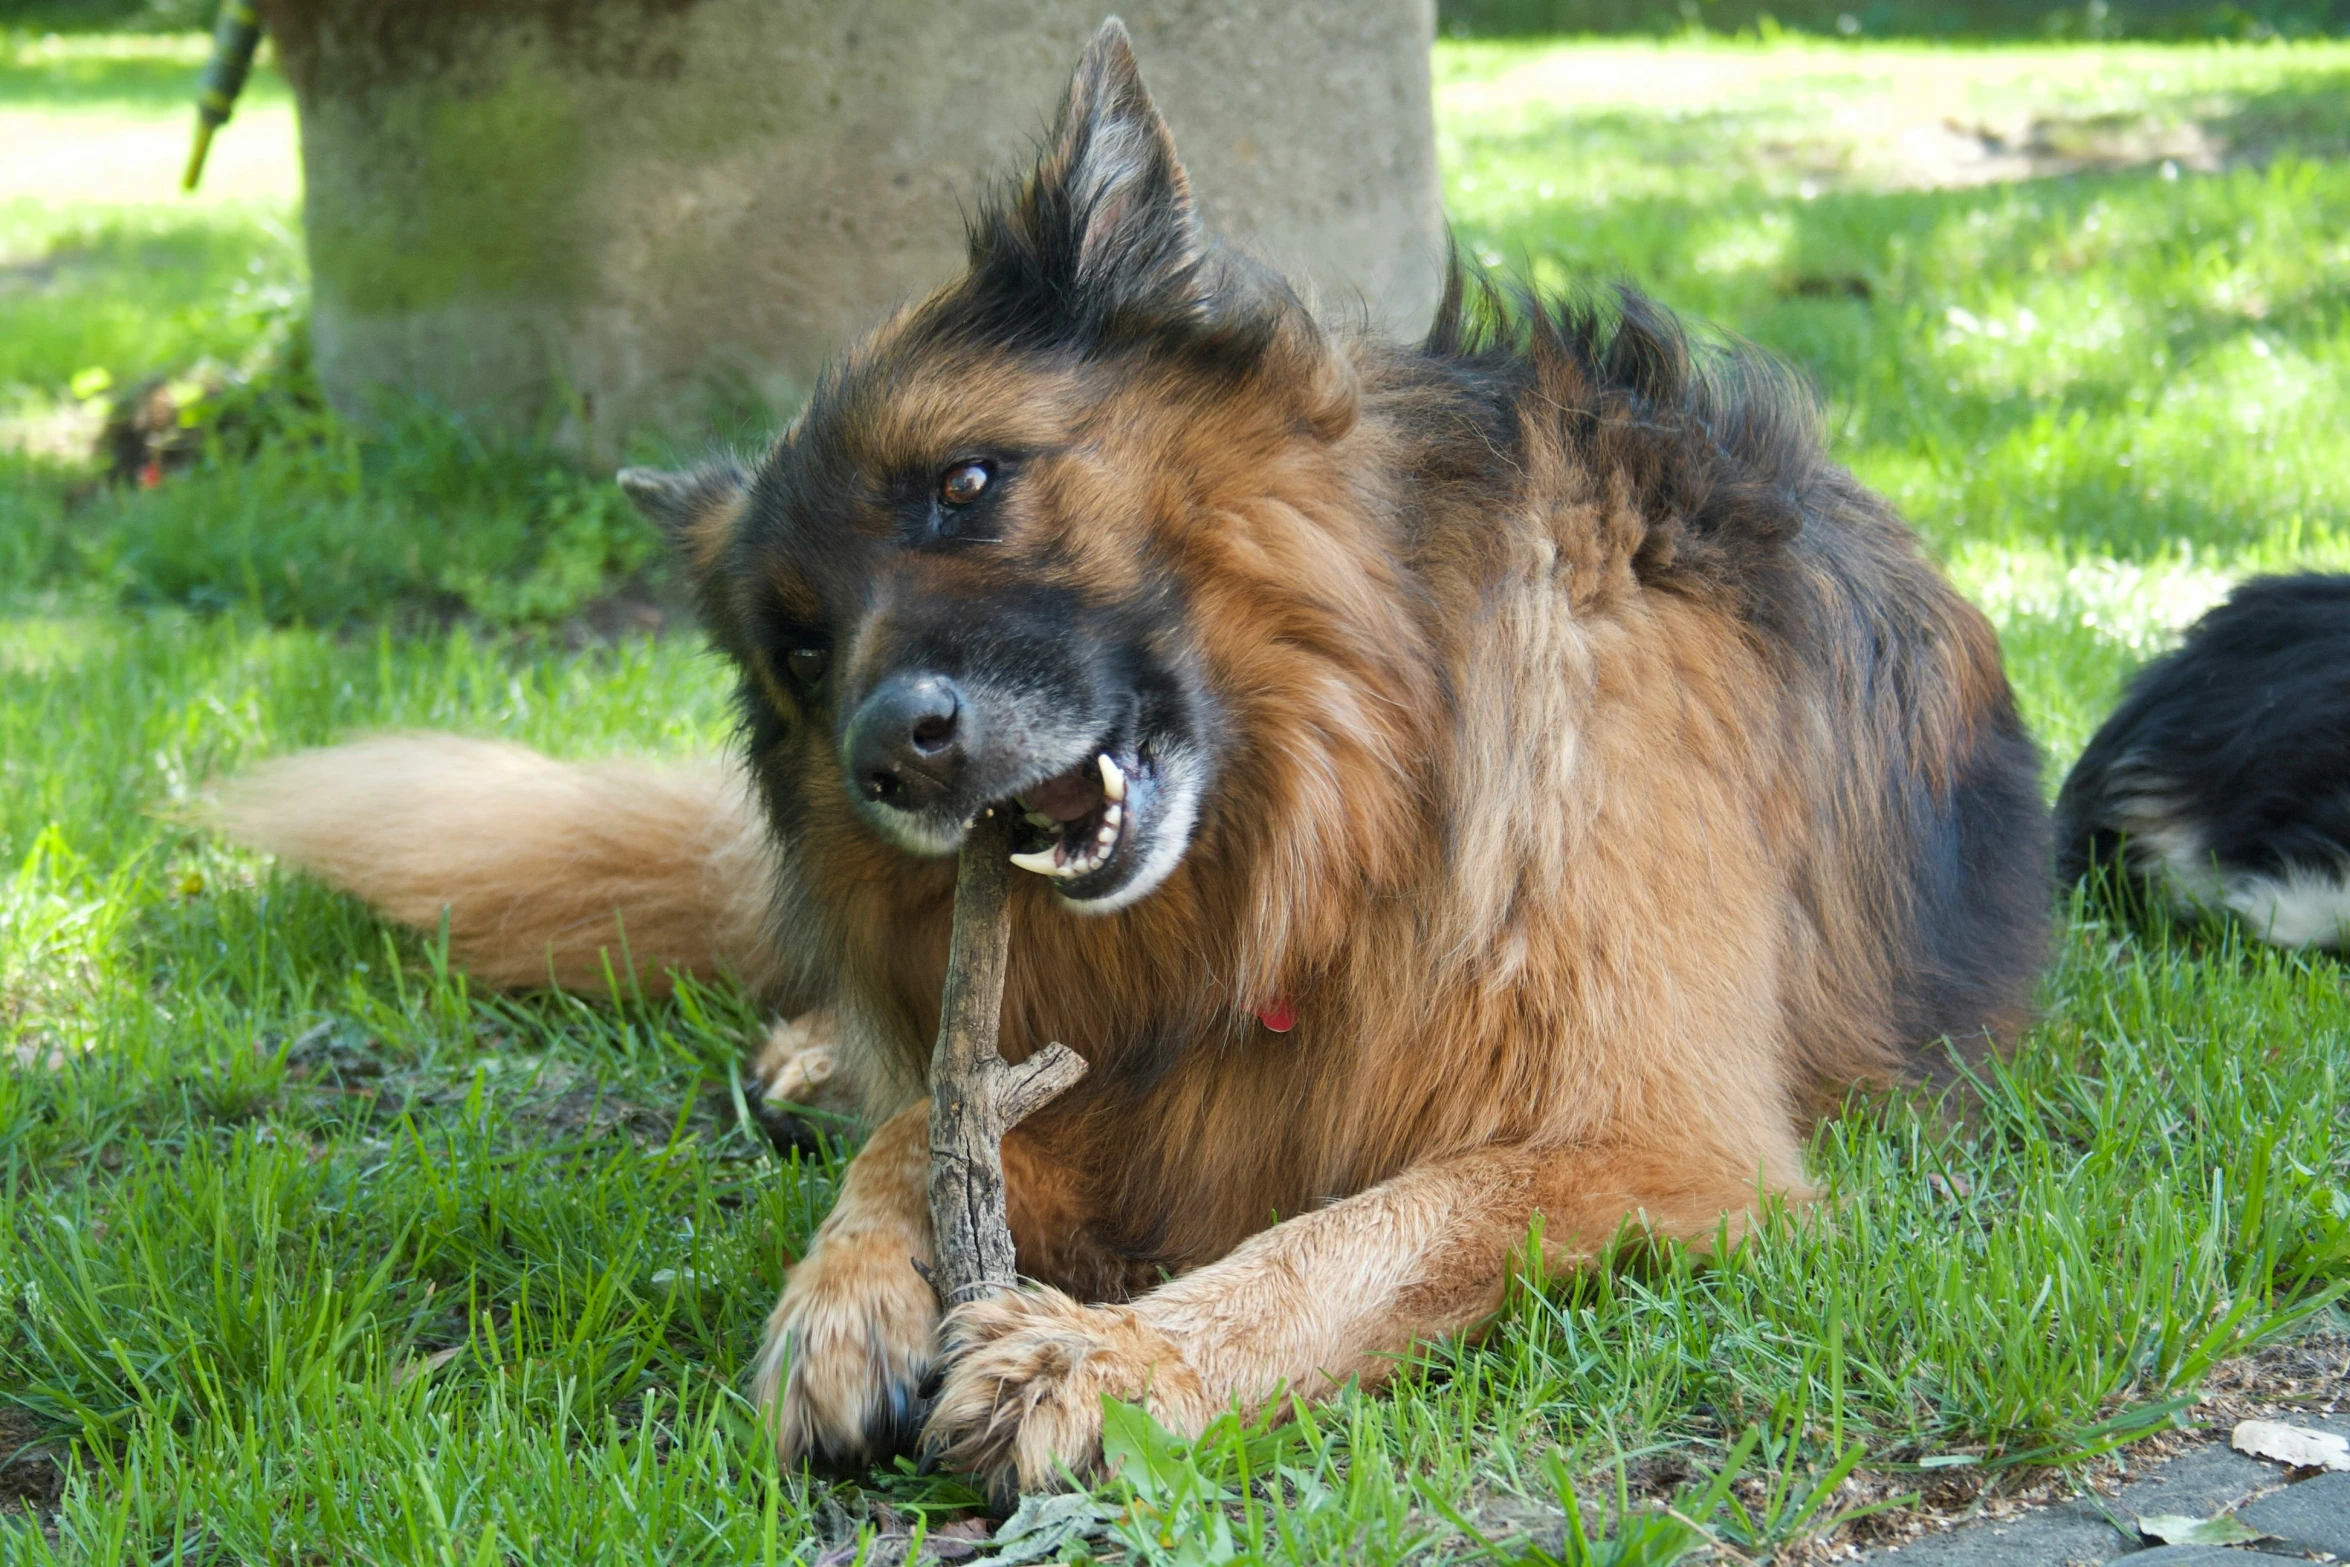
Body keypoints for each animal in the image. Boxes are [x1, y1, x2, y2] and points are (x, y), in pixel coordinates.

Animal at [224, 21, 2058, 1494]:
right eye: (798, 649)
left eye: (965, 484)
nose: (891, 753)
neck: (1333, 818)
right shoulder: (1115, 1072)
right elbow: (925, 1132)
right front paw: (846, 1294)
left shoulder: (1642, 1138)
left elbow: (1355, 1234)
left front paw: (1109, 1357)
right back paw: (815, 1054)